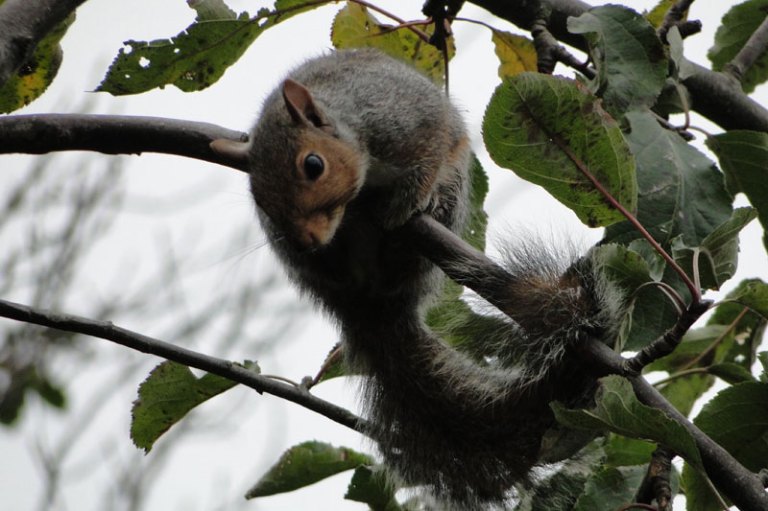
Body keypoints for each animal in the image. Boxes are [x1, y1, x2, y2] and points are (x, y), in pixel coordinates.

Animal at [211, 49, 626, 509]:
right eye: (259, 197)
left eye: (313, 164)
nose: (307, 243)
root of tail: (371, 306)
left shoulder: (410, 121)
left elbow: (430, 155)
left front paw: (408, 199)